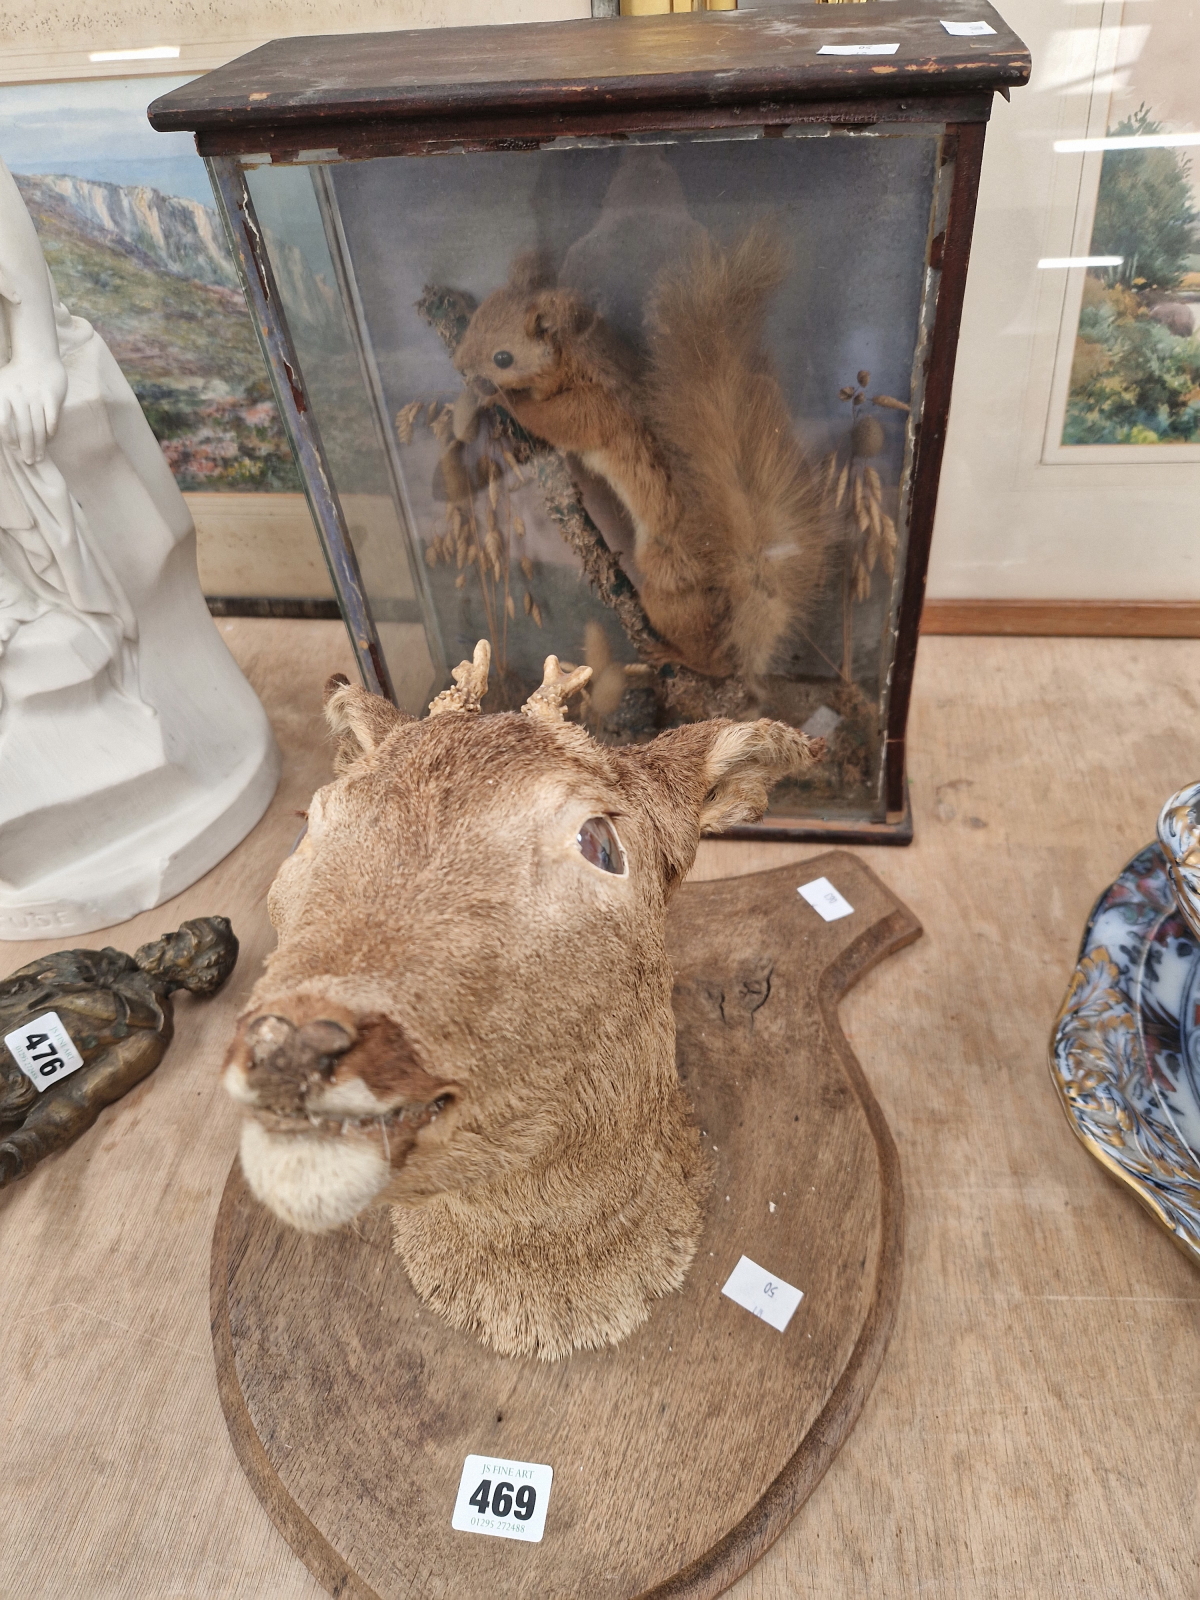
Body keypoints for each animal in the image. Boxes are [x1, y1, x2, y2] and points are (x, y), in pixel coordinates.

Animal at [454, 225, 838, 681]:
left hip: (668, 586)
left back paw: (679, 655)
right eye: (479, 316)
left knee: (714, 658)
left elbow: (559, 420)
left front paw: (501, 397)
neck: (577, 353)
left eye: (503, 357)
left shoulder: (597, 408)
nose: (459, 364)